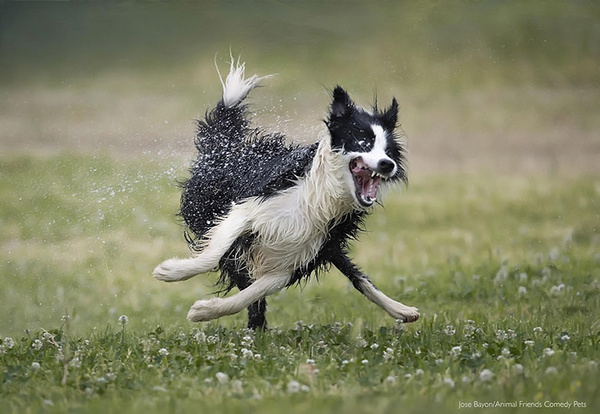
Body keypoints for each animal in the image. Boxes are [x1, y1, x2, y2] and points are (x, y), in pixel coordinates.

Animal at [152, 59, 420, 330]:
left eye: (389, 151)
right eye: (363, 142)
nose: (387, 164)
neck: (322, 196)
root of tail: (227, 149)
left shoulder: (298, 256)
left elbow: (252, 293)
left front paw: (204, 310)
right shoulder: (248, 208)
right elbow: (214, 253)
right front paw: (170, 271)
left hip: (325, 247)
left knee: (356, 276)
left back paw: (403, 310)